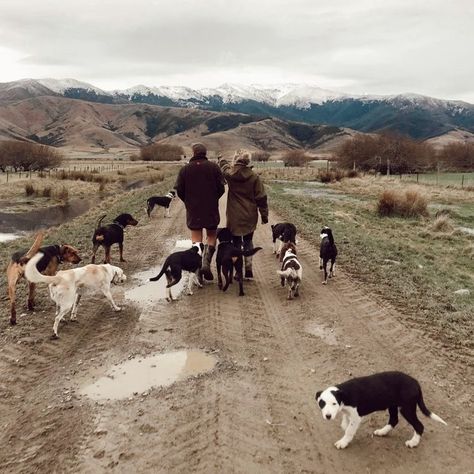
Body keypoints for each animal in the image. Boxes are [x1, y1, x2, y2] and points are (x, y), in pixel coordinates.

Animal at [316, 372, 446, 450]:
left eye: (334, 403)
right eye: (322, 403)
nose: (328, 416)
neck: (344, 394)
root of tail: (416, 382)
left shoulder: (356, 417)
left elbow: (349, 430)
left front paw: (343, 442)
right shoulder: (349, 413)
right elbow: (345, 423)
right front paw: (344, 426)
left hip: (407, 408)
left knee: (419, 425)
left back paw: (413, 442)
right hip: (393, 405)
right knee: (394, 420)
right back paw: (383, 432)